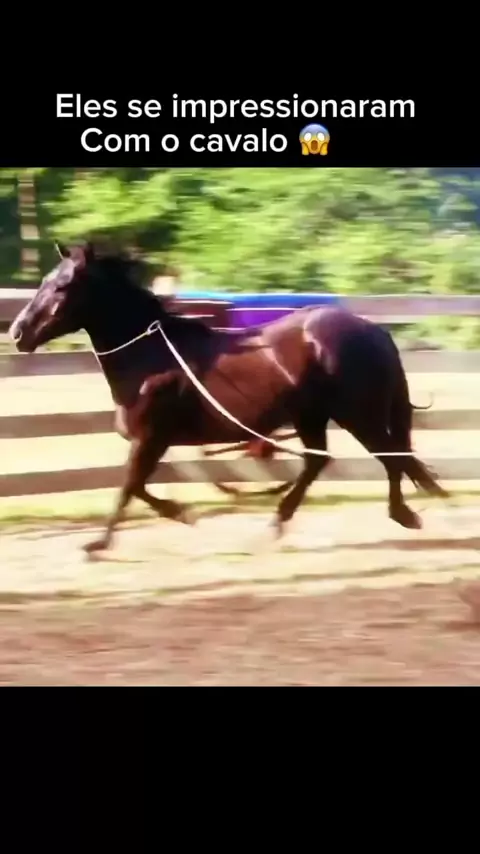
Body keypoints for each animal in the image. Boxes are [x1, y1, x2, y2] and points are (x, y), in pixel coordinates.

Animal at [8, 241, 449, 555]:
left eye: (62, 285)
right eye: (45, 280)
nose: (17, 333)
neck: (150, 356)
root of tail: (372, 330)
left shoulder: (150, 439)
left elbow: (129, 487)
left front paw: (99, 544)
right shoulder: (153, 442)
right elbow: (139, 487)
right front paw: (182, 514)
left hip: (358, 413)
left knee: (391, 458)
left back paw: (403, 515)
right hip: (312, 416)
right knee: (319, 461)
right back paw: (277, 522)